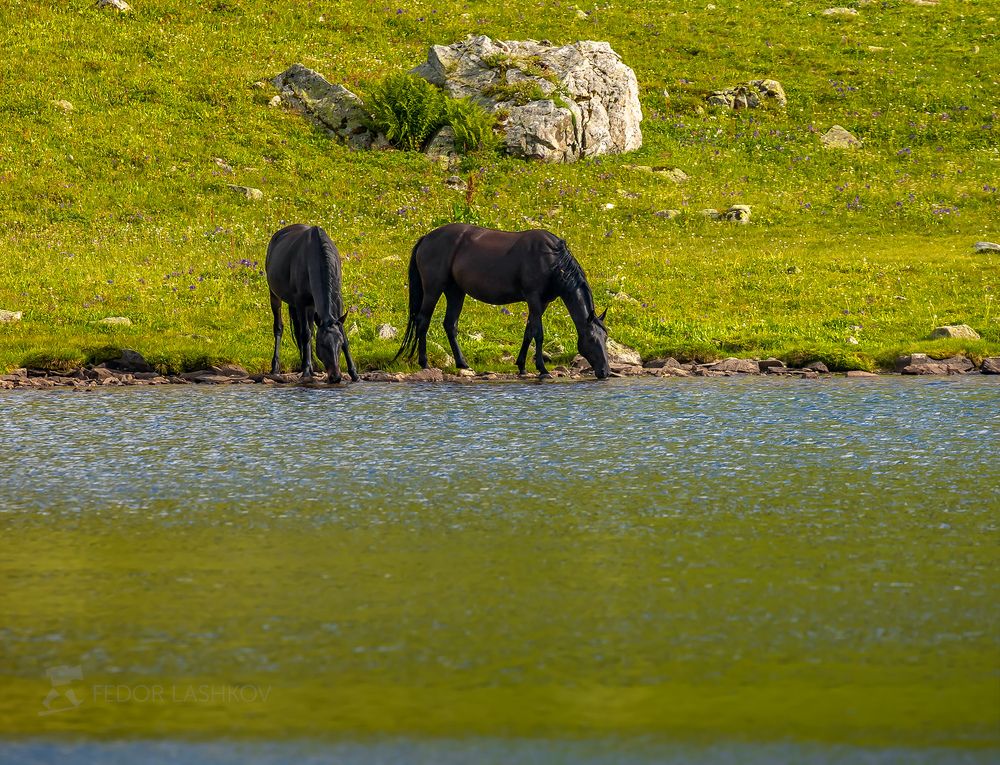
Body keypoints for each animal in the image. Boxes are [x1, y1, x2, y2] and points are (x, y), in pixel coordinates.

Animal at [265, 224, 359, 383]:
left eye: (339, 345)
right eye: (322, 345)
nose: (335, 377)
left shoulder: (337, 301)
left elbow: (342, 334)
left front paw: (354, 373)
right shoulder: (301, 302)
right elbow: (306, 334)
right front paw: (306, 371)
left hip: (309, 306)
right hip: (275, 295)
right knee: (280, 327)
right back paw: (276, 368)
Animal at [394, 223, 610, 379]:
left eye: (605, 338)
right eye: (592, 339)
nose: (605, 372)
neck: (552, 260)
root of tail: (426, 238)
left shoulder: (543, 302)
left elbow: (529, 332)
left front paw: (522, 366)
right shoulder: (533, 298)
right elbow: (538, 334)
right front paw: (542, 369)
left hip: (456, 291)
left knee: (450, 325)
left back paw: (462, 363)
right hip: (433, 289)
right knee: (423, 321)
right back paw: (424, 362)